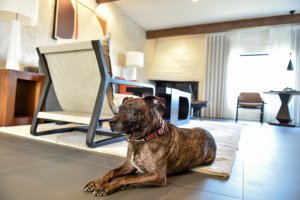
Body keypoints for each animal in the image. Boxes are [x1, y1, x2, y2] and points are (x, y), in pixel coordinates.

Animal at [83, 96, 217, 196]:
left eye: (132, 109)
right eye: (120, 108)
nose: (110, 122)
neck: (141, 140)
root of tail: (210, 135)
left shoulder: (158, 176)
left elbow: (128, 178)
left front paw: (108, 186)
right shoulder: (129, 166)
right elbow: (111, 171)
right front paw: (96, 183)